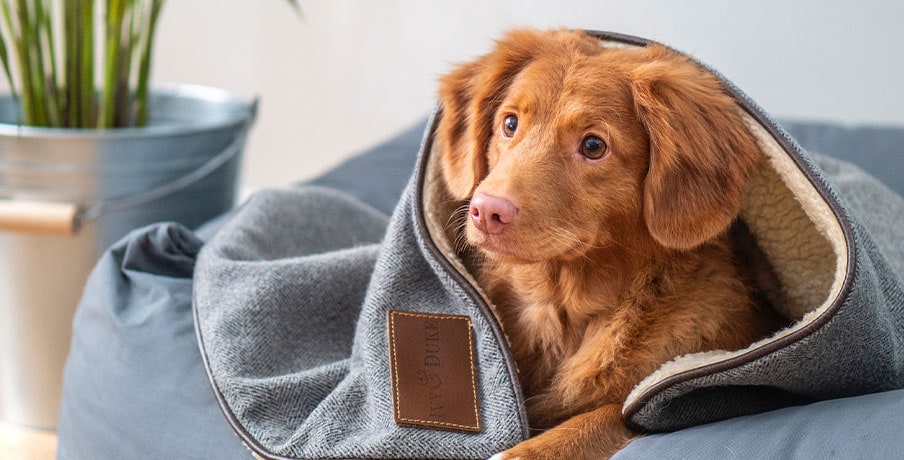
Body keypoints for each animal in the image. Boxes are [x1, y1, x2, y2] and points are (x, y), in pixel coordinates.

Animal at [434, 29, 780, 460]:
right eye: (509, 123)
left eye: (594, 146)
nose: (487, 210)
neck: (565, 309)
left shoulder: (680, 397)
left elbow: (604, 415)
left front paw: (521, 450)